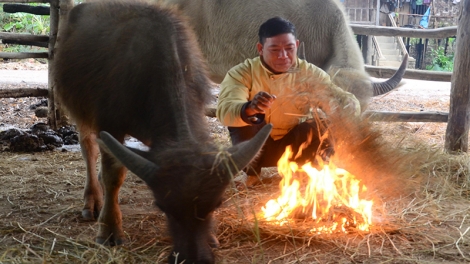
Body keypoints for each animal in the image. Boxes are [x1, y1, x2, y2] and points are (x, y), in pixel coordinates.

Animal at [52, 1, 270, 262]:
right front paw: (110, 230)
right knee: (88, 149)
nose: (193, 258)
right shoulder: (110, 124)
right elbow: (113, 176)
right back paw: (92, 201)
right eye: (162, 207)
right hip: (78, 109)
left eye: (216, 205)